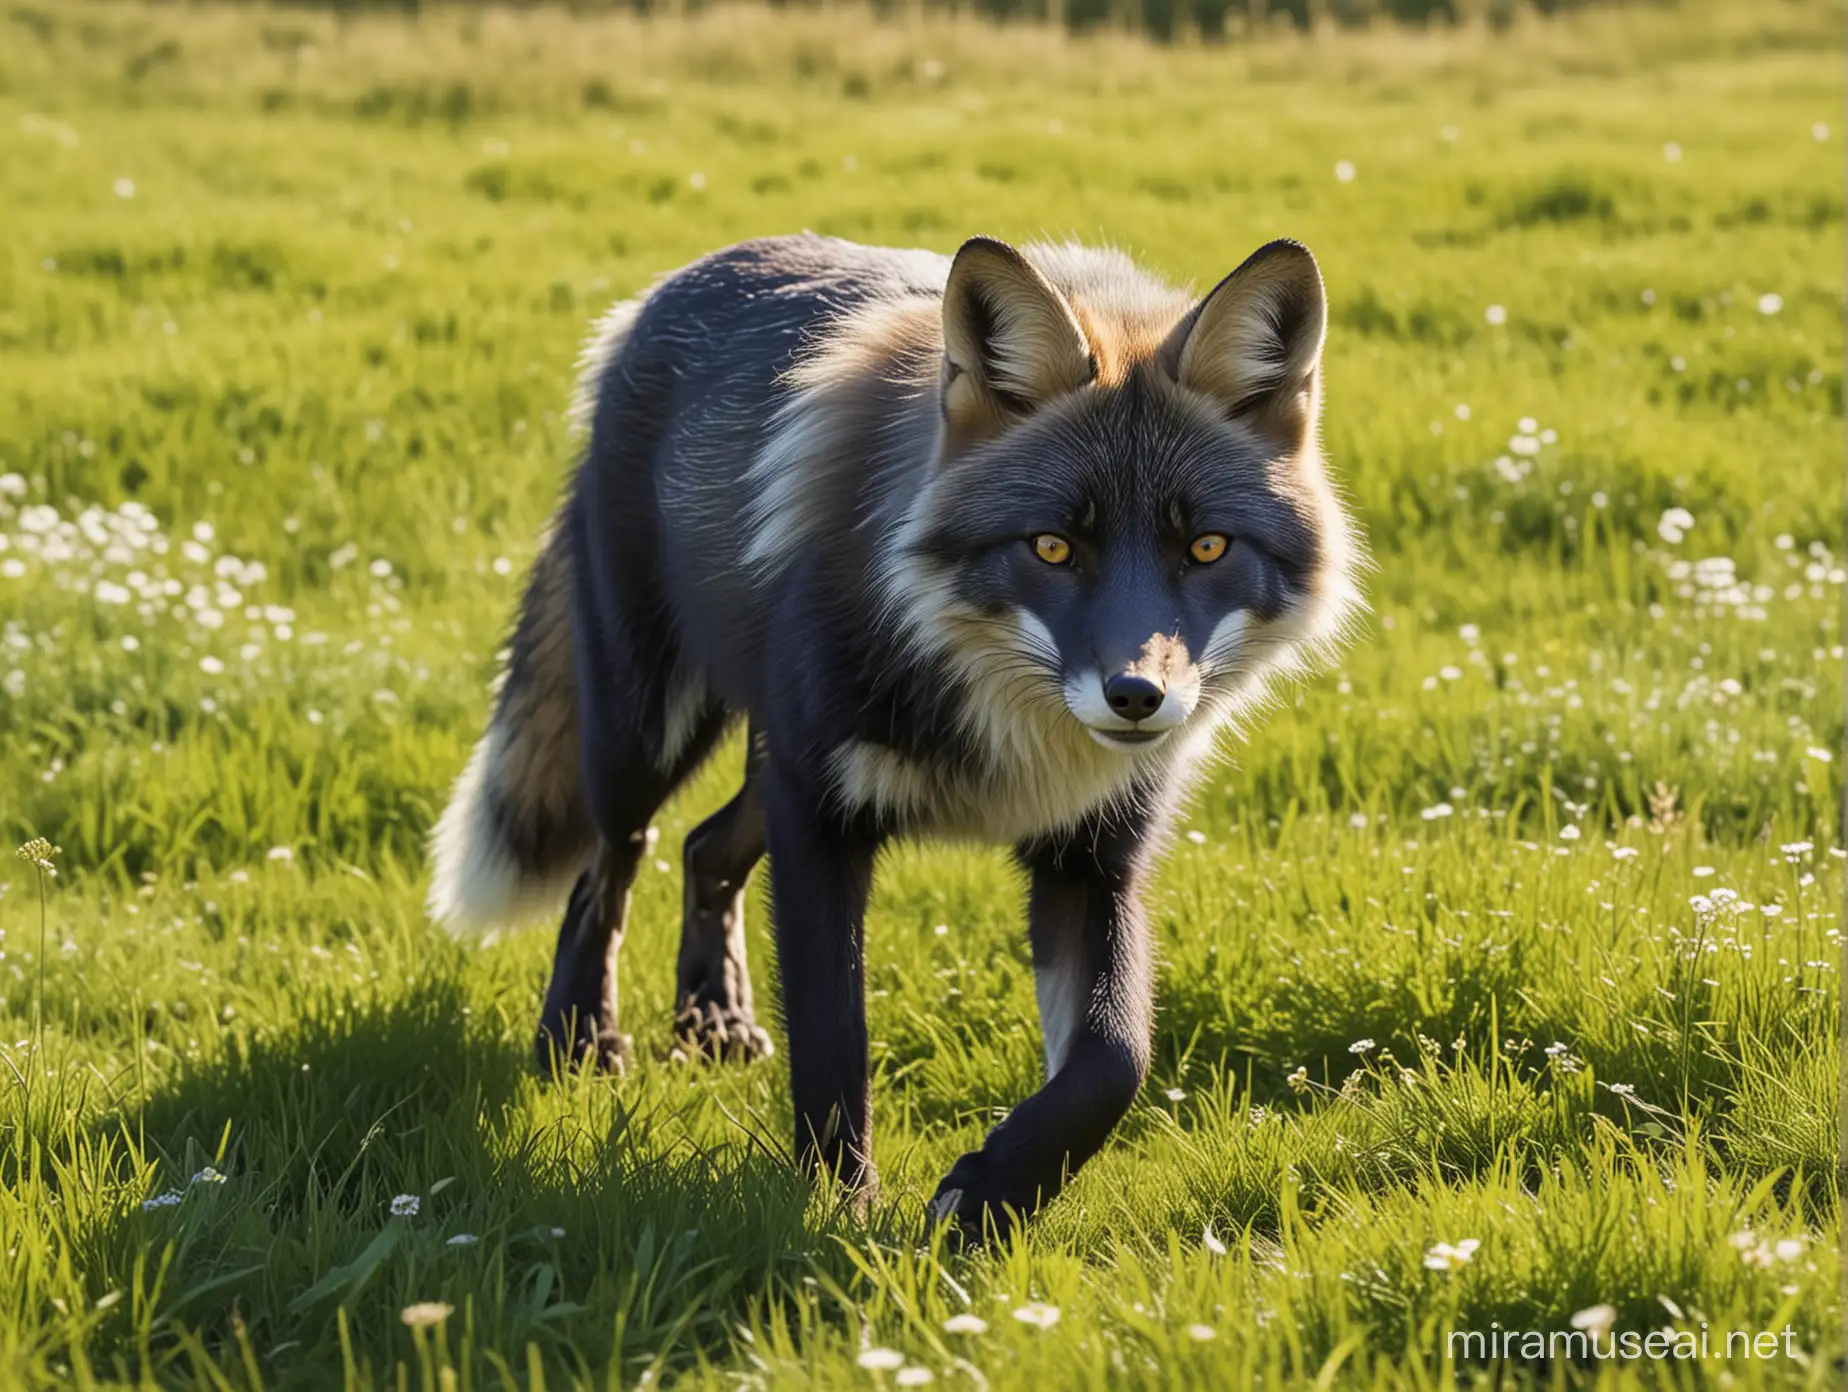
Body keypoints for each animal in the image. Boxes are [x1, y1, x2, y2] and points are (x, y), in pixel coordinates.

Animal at [425, 233, 1367, 1234]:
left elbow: (1113, 1064)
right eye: (1052, 547)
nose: (1137, 696)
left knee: (704, 847)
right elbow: (833, 1047)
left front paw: (993, 1196)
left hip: (761, 760)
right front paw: (843, 1214)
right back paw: (579, 1036)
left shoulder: (1092, 855)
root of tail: (669, 289)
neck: (1008, 733)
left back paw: (711, 1020)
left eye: (1207, 548)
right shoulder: (819, 820)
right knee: (607, 868)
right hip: (646, 736)